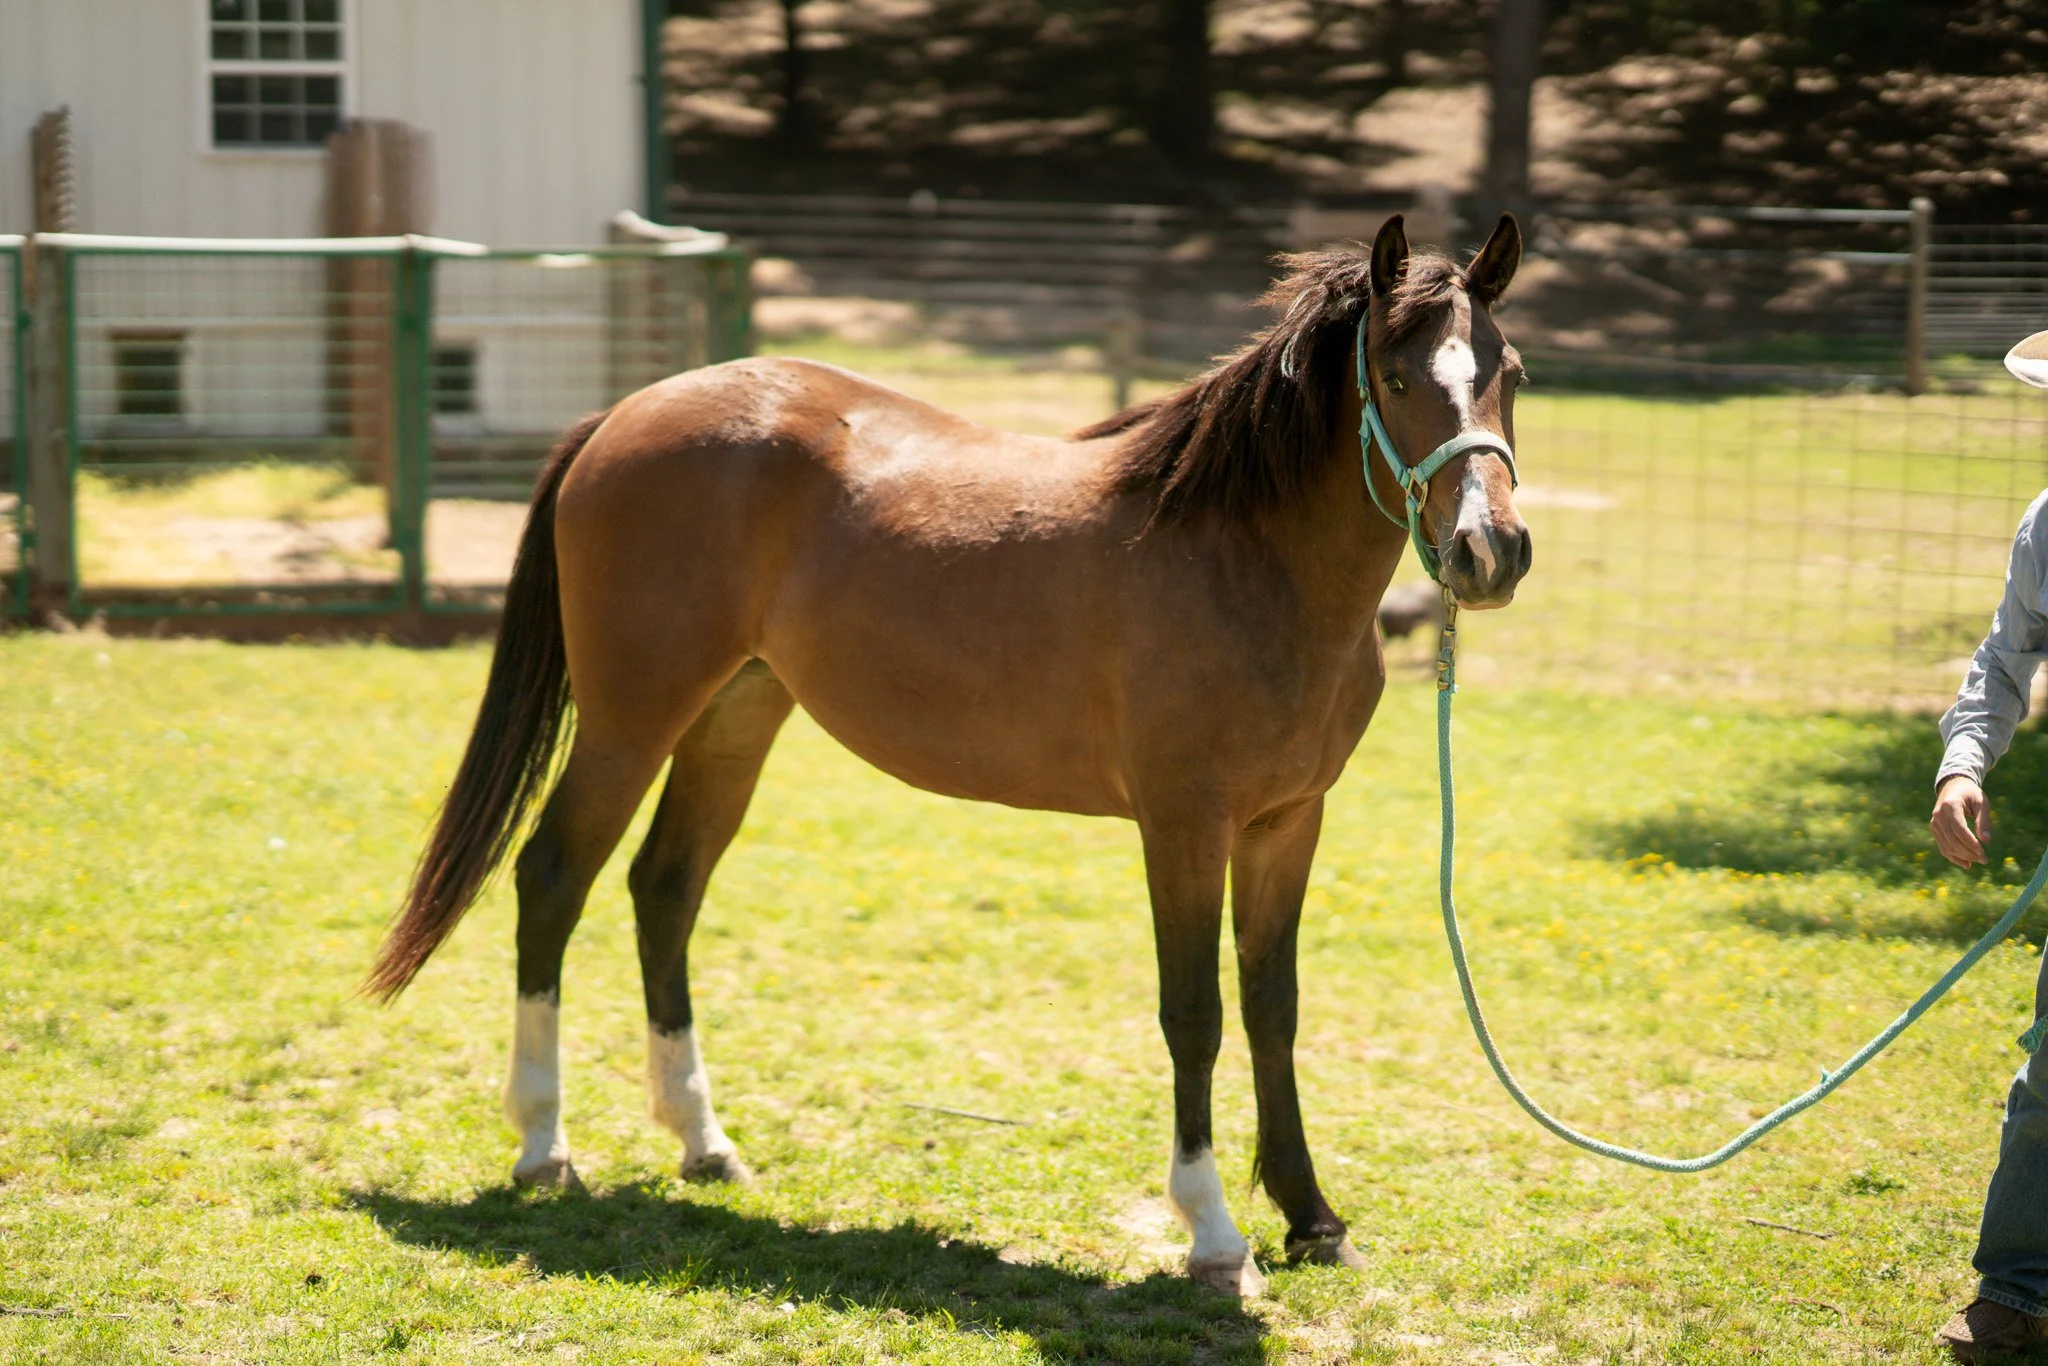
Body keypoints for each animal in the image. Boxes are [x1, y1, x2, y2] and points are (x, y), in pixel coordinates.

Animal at [367, 212, 1533, 1296]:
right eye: (1395, 376)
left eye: (1509, 373)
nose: (1492, 552)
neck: (1241, 557)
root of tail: (624, 411)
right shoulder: (1183, 826)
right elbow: (1194, 1014)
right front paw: (1212, 1234)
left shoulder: (1289, 822)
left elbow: (1271, 1009)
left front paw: (1311, 1219)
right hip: (630, 717)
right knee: (555, 877)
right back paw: (542, 1145)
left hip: (737, 713)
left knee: (665, 887)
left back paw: (704, 1144)